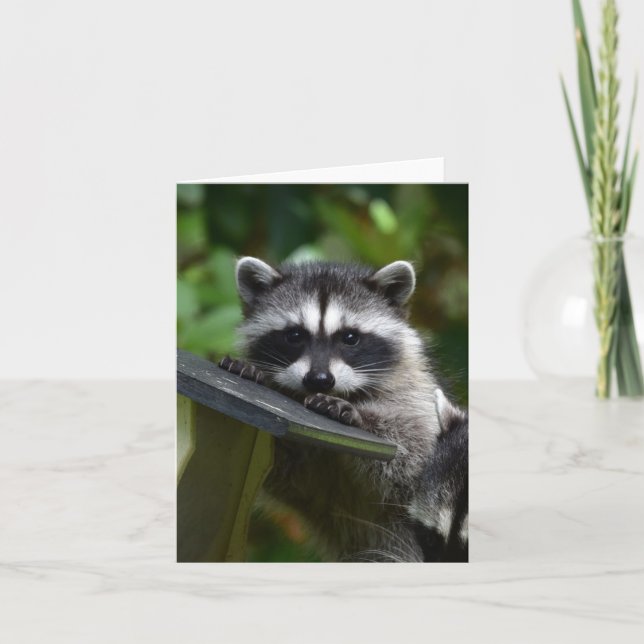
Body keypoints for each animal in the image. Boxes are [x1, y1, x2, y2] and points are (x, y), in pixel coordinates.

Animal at [220, 256, 444, 561]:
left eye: (350, 337)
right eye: (294, 335)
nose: (319, 380)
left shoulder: (415, 396)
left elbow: (415, 453)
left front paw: (359, 415)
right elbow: (281, 468)